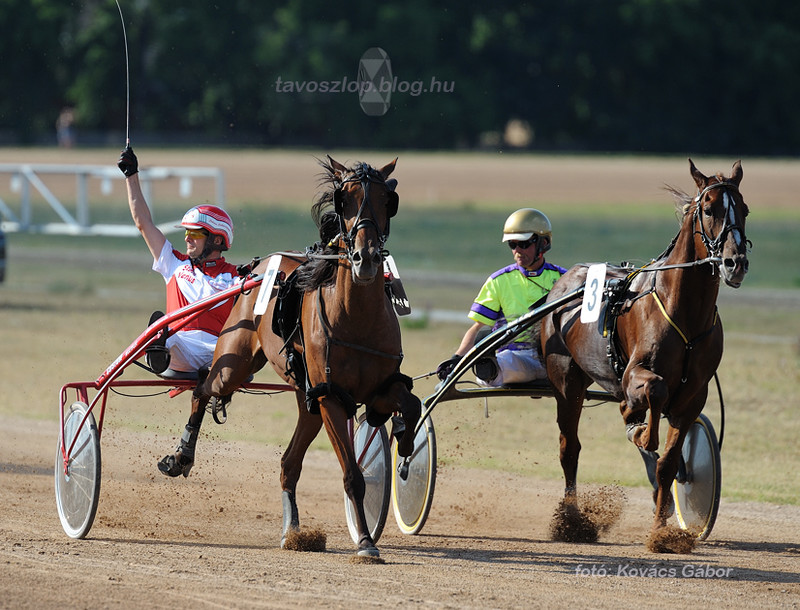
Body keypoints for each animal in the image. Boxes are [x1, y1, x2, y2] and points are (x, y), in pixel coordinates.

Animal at [156, 156, 422, 556]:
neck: (357, 315)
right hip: (235, 364)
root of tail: (256, 268)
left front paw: (404, 438)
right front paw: (364, 542)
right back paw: (181, 454)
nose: (366, 258)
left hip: (305, 399)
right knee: (203, 389)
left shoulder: (379, 388)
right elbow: (352, 475)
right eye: (344, 199)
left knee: (288, 464)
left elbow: (411, 404)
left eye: (385, 199)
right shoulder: (330, 397)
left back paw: (292, 529)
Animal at [536, 159, 752, 548]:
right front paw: (637, 428)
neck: (684, 311)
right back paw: (572, 521)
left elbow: (668, 463)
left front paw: (663, 531)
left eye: (744, 209)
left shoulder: (694, 394)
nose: (735, 262)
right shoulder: (634, 373)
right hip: (567, 383)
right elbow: (654, 390)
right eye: (709, 208)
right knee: (569, 448)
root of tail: (563, 283)